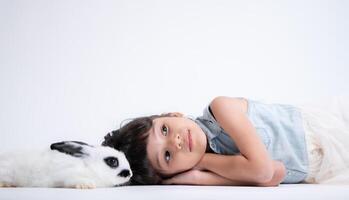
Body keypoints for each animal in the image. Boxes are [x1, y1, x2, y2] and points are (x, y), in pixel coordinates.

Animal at [0, 140, 132, 188]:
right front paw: (86, 185)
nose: (129, 174)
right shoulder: (69, 174)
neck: (90, 168)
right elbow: (72, 181)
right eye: (112, 161)